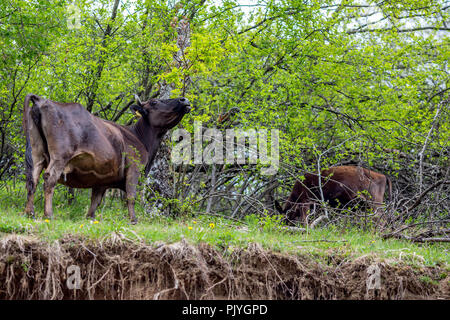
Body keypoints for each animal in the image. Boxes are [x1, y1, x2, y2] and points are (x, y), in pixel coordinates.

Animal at [22, 93, 190, 222]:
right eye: (154, 102)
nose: (184, 100)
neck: (140, 138)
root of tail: (42, 100)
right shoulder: (134, 169)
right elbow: (130, 196)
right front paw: (133, 219)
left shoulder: (102, 178)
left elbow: (95, 200)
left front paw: (90, 218)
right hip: (60, 156)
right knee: (49, 178)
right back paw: (48, 214)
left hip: (37, 153)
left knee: (32, 179)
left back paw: (30, 212)